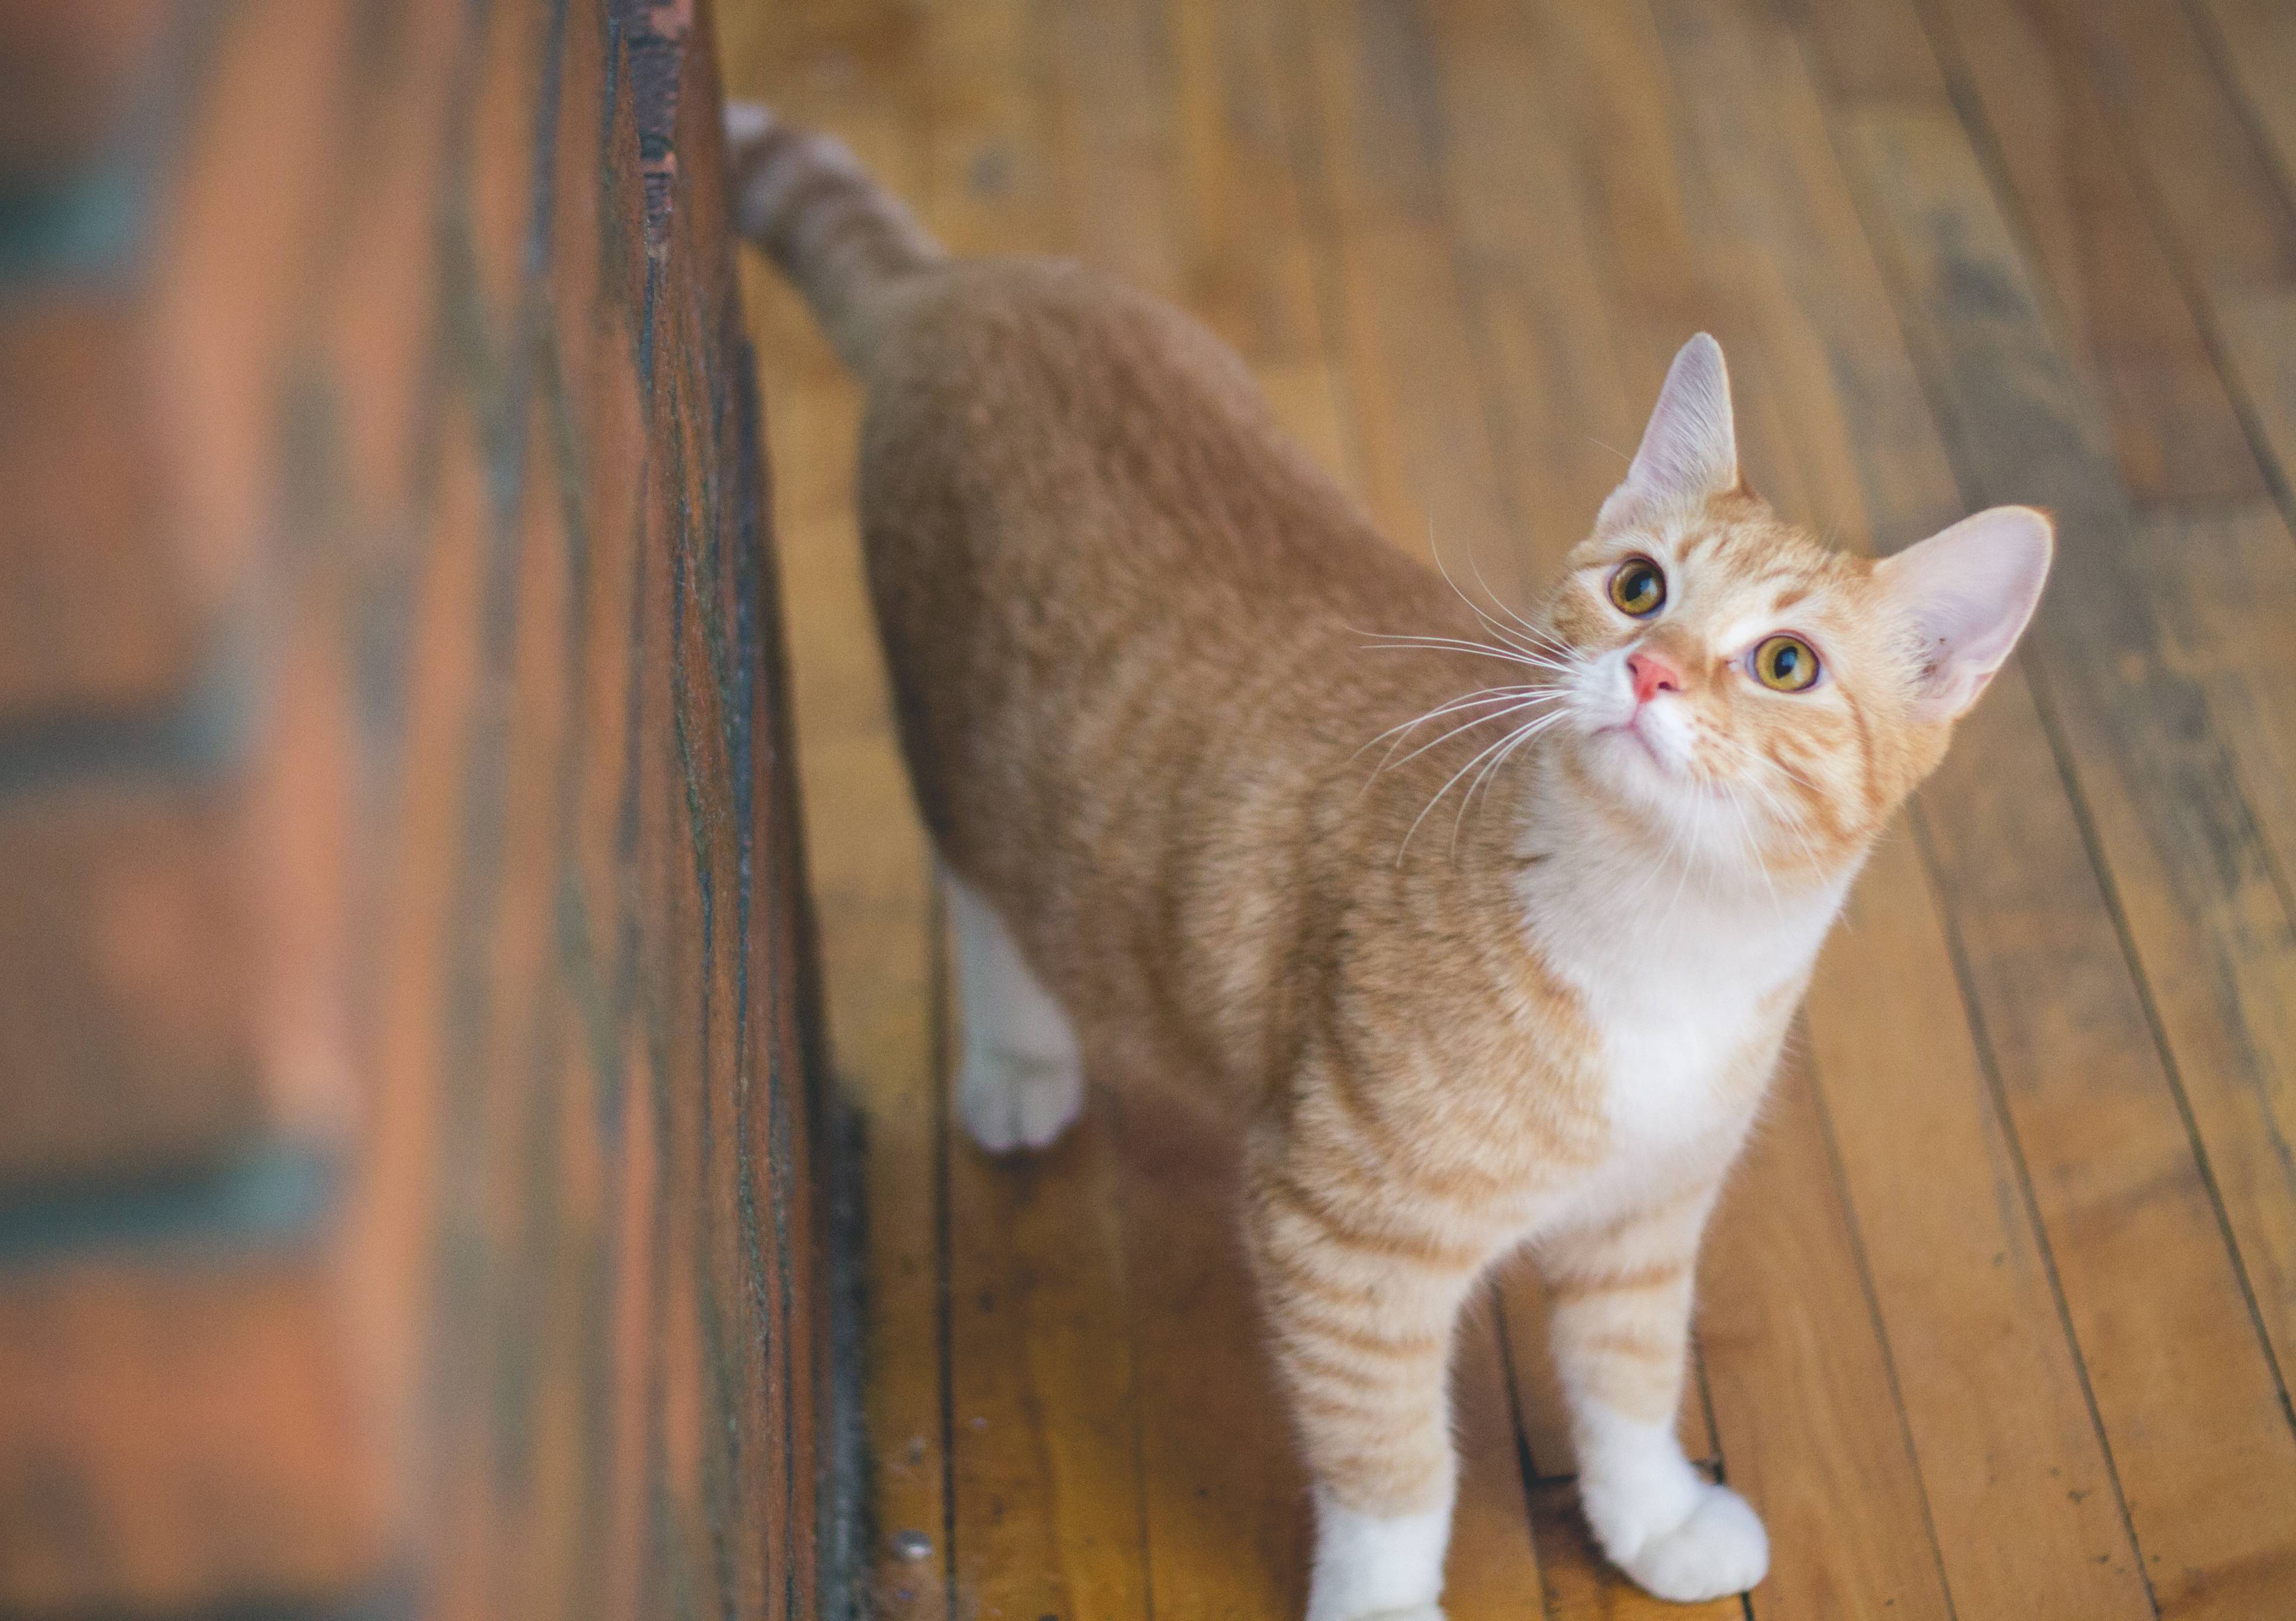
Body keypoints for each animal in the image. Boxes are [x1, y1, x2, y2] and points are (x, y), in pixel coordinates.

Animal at [730, 107, 2048, 1607]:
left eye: (1783, 664)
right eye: (1638, 587)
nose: (1647, 670)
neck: (1657, 937)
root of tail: (957, 289)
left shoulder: (1644, 1221)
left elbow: (1628, 1380)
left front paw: (1650, 1517)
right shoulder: (1340, 1242)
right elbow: (1390, 1463)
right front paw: (1378, 1596)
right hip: (963, 755)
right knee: (979, 893)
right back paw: (1015, 1056)